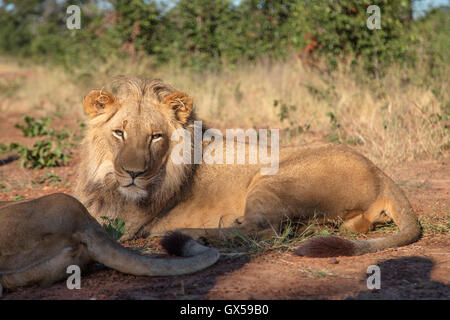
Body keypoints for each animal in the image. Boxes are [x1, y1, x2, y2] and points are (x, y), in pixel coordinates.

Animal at [74, 75, 422, 258]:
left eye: (155, 136)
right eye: (119, 133)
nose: (133, 174)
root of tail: (381, 174)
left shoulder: (124, 223)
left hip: (272, 178)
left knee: (266, 233)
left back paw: (192, 235)